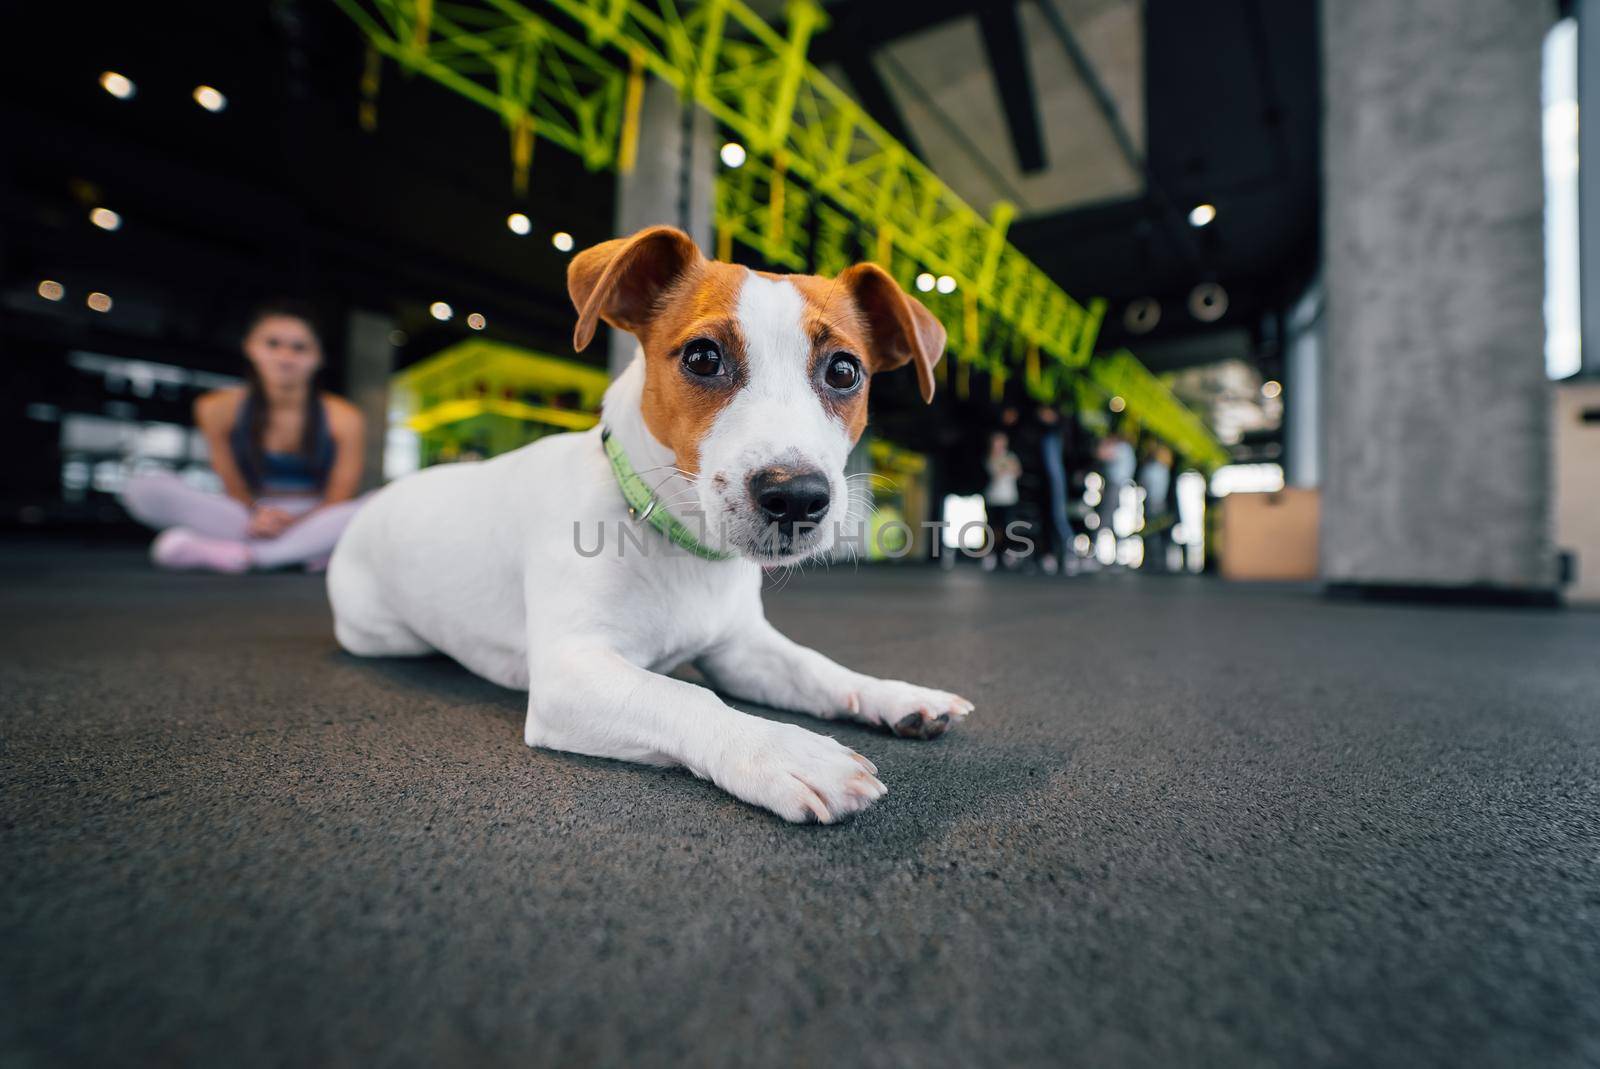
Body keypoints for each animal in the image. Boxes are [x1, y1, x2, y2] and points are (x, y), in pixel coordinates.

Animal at [326, 225, 972, 825]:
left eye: (844, 371)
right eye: (703, 357)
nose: (796, 497)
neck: (680, 545)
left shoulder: (742, 650)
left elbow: (815, 667)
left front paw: (892, 694)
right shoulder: (569, 673)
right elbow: (688, 695)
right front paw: (785, 752)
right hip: (379, 631)